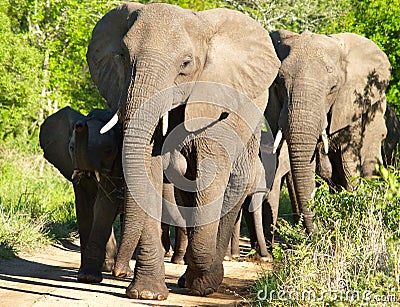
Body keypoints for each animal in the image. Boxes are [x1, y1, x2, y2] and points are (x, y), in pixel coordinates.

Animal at [39, 106, 123, 284]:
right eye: (72, 148)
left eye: (108, 151)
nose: (80, 124)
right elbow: (85, 209)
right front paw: (84, 275)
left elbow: (104, 206)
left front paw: (89, 277)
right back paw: (107, 267)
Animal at [86, 1, 280, 300]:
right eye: (123, 56)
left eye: (186, 64)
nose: (118, 272)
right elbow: (150, 172)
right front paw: (147, 294)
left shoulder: (214, 103)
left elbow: (209, 176)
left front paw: (203, 285)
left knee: (233, 187)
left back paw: (202, 280)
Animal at [266, 30, 390, 235]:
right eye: (278, 84)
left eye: (333, 88)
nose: (316, 231)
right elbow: (293, 168)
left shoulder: (352, 104)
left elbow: (348, 164)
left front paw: (350, 221)